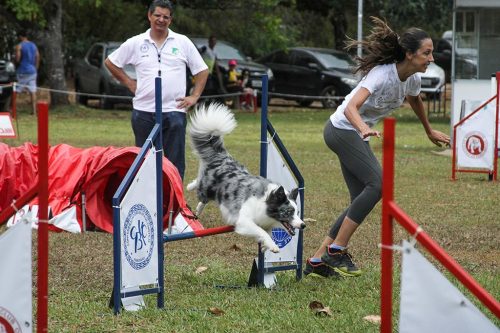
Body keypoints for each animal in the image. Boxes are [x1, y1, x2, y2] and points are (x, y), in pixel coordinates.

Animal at [188, 102, 304, 250]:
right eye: (288, 212)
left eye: (297, 212)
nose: (303, 225)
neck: (264, 201)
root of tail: (222, 156)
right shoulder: (243, 220)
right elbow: (260, 231)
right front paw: (273, 246)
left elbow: (267, 232)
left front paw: (265, 246)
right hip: (206, 189)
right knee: (201, 191)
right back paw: (191, 190)